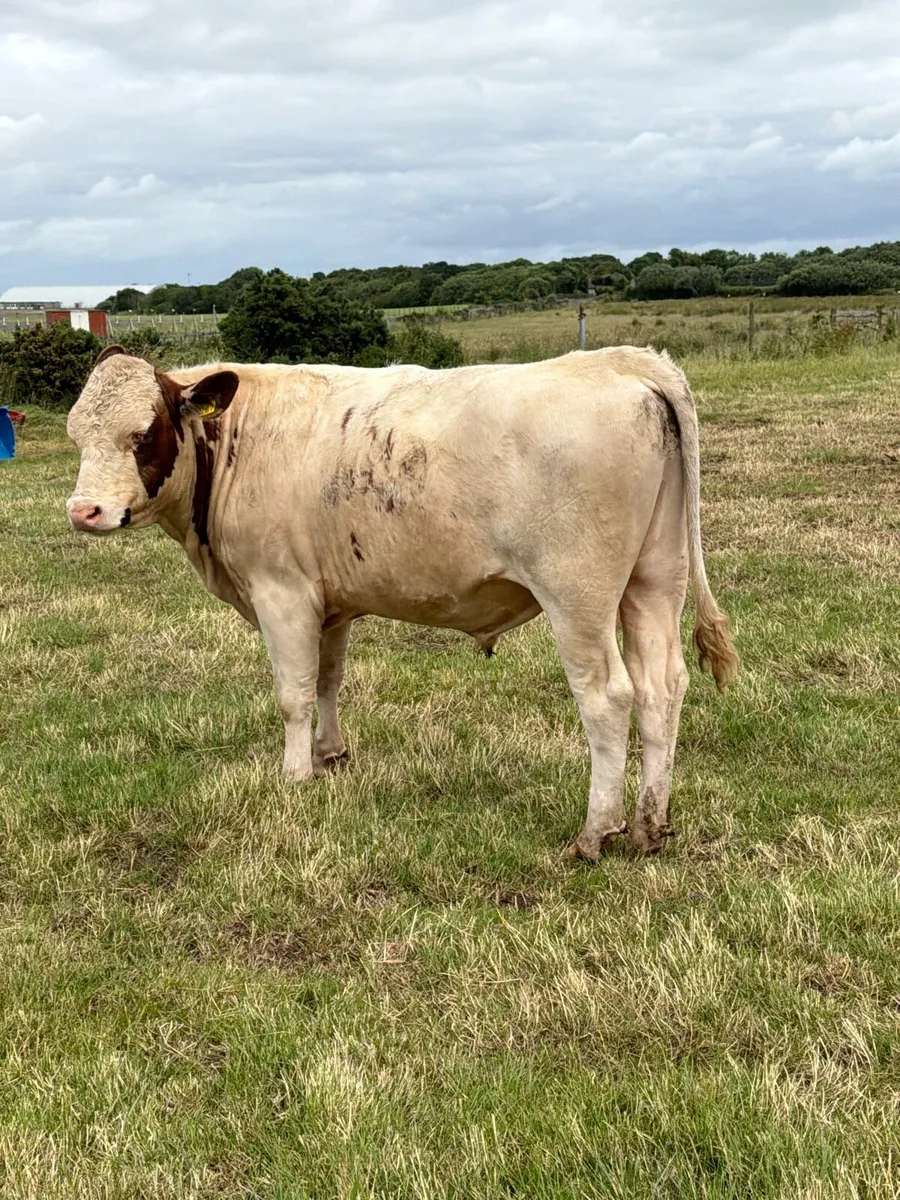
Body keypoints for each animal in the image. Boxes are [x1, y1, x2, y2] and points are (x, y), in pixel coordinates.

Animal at [66, 345, 738, 857]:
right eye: (76, 434)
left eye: (143, 433)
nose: (83, 510)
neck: (236, 439)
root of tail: (623, 361)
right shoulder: (328, 601)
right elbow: (328, 679)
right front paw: (330, 756)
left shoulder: (282, 591)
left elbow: (292, 694)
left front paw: (293, 777)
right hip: (655, 577)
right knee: (661, 686)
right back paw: (651, 824)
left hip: (579, 596)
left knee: (608, 698)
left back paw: (598, 831)